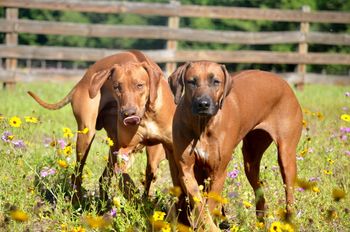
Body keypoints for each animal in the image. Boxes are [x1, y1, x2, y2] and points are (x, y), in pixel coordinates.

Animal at [27, 50, 172, 203]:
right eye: (116, 86)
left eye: (140, 85)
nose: (128, 113)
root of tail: (81, 81)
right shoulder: (127, 149)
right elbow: (125, 177)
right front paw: (133, 196)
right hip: (87, 134)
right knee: (78, 173)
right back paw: (78, 202)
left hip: (115, 143)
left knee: (106, 176)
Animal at [168, 61, 302, 230]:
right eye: (191, 81)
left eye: (216, 81)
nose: (203, 104)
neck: (203, 125)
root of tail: (285, 83)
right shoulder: (187, 171)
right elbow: (199, 203)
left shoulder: (218, 172)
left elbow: (209, 204)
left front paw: (209, 227)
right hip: (250, 158)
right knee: (259, 193)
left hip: (286, 157)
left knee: (289, 197)